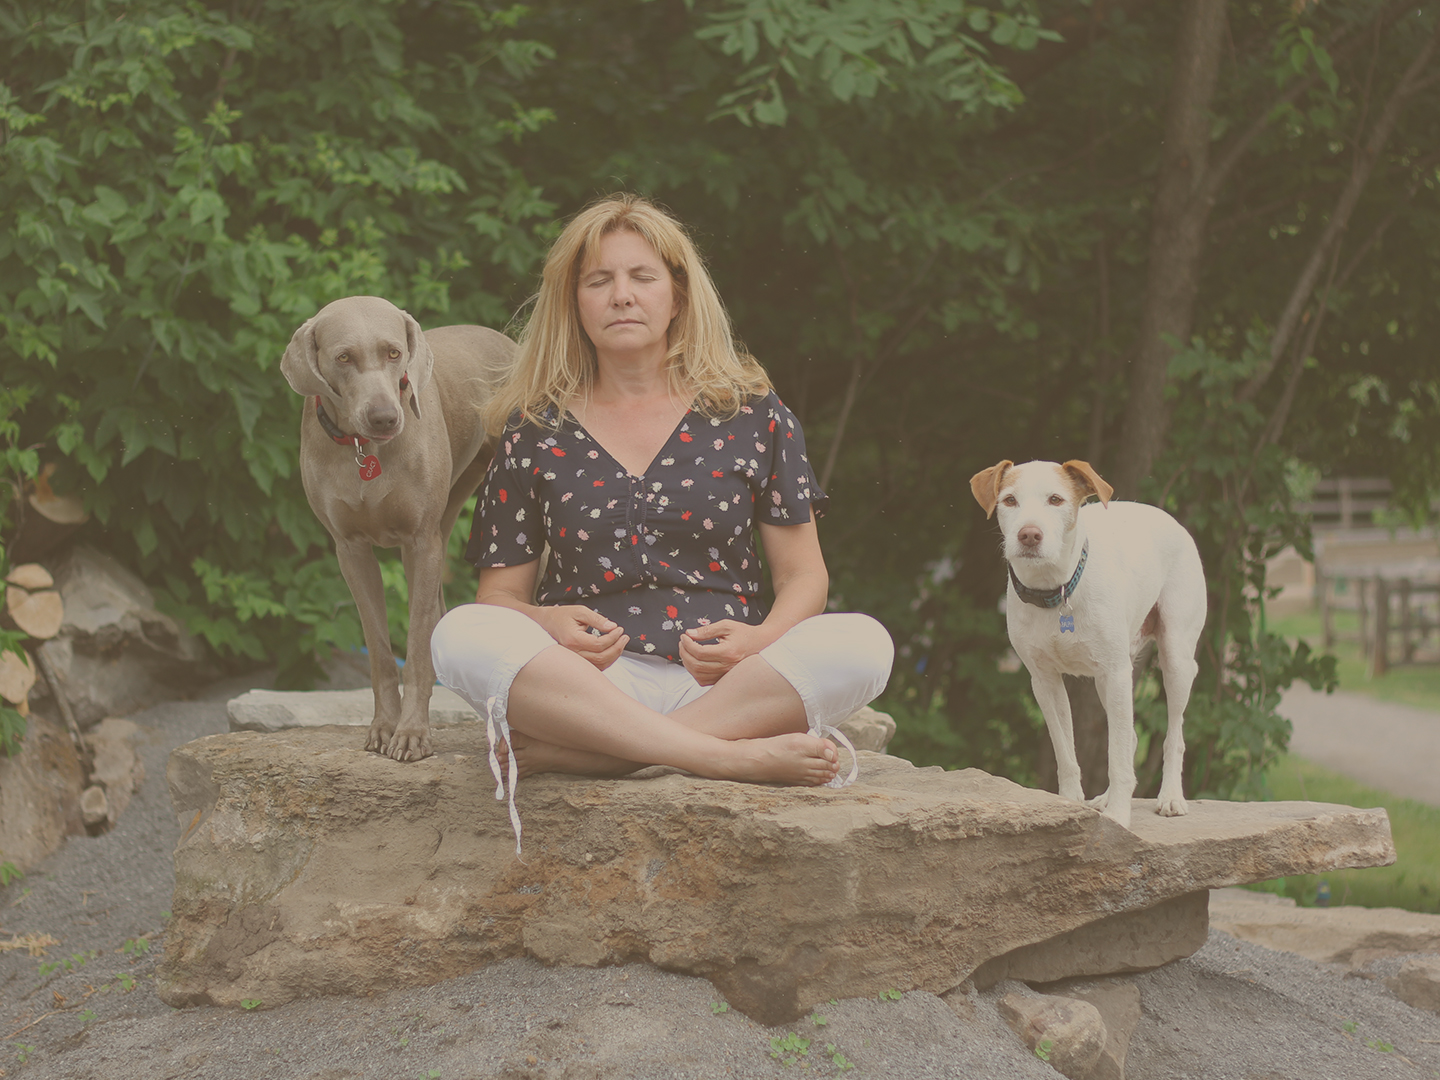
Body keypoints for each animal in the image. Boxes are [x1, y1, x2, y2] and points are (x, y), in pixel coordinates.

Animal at [277, 293, 515, 760]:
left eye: (393, 353)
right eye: (343, 357)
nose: (385, 418)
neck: (363, 448)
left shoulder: (420, 542)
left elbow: (416, 645)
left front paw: (412, 732)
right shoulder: (350, 549)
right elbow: (380, 651)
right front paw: (385, 726)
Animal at [967, 457, 1203, 829]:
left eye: (1056, 500)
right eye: (1009, 500)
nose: (1029, 534)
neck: (1057, 591)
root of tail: (1170, 518)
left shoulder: (1118, 673)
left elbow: (1117, 756)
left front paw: (1120, 816)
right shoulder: (1044, 681)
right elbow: (1065, 751)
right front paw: (1069, 804)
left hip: (1174, 660)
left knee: (1172, 737)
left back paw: (1170, 797)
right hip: (1104, 684)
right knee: (1131, 736)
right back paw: (1105, 798)